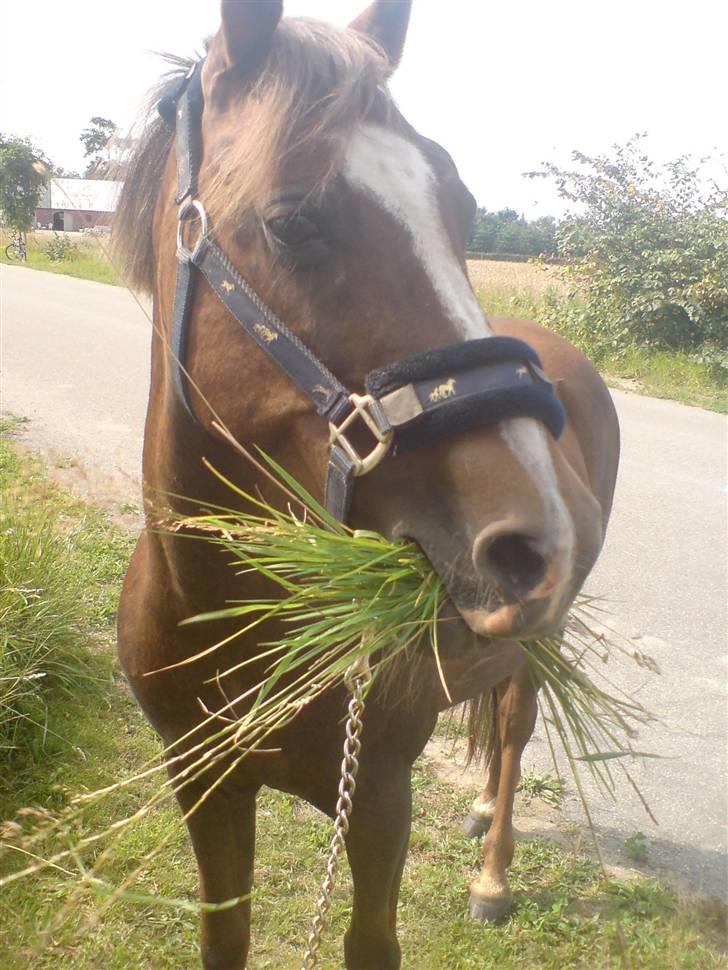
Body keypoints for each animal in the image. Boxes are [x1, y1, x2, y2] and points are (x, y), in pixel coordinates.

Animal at [113, 3, 619, 968]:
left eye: (463, 207)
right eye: (292, 222)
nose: (551, 530)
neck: (232, 623)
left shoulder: (380, 801)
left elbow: (368, 940)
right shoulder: (207, 789)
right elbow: (224, 935)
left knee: (515, 726)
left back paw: (492, 875)